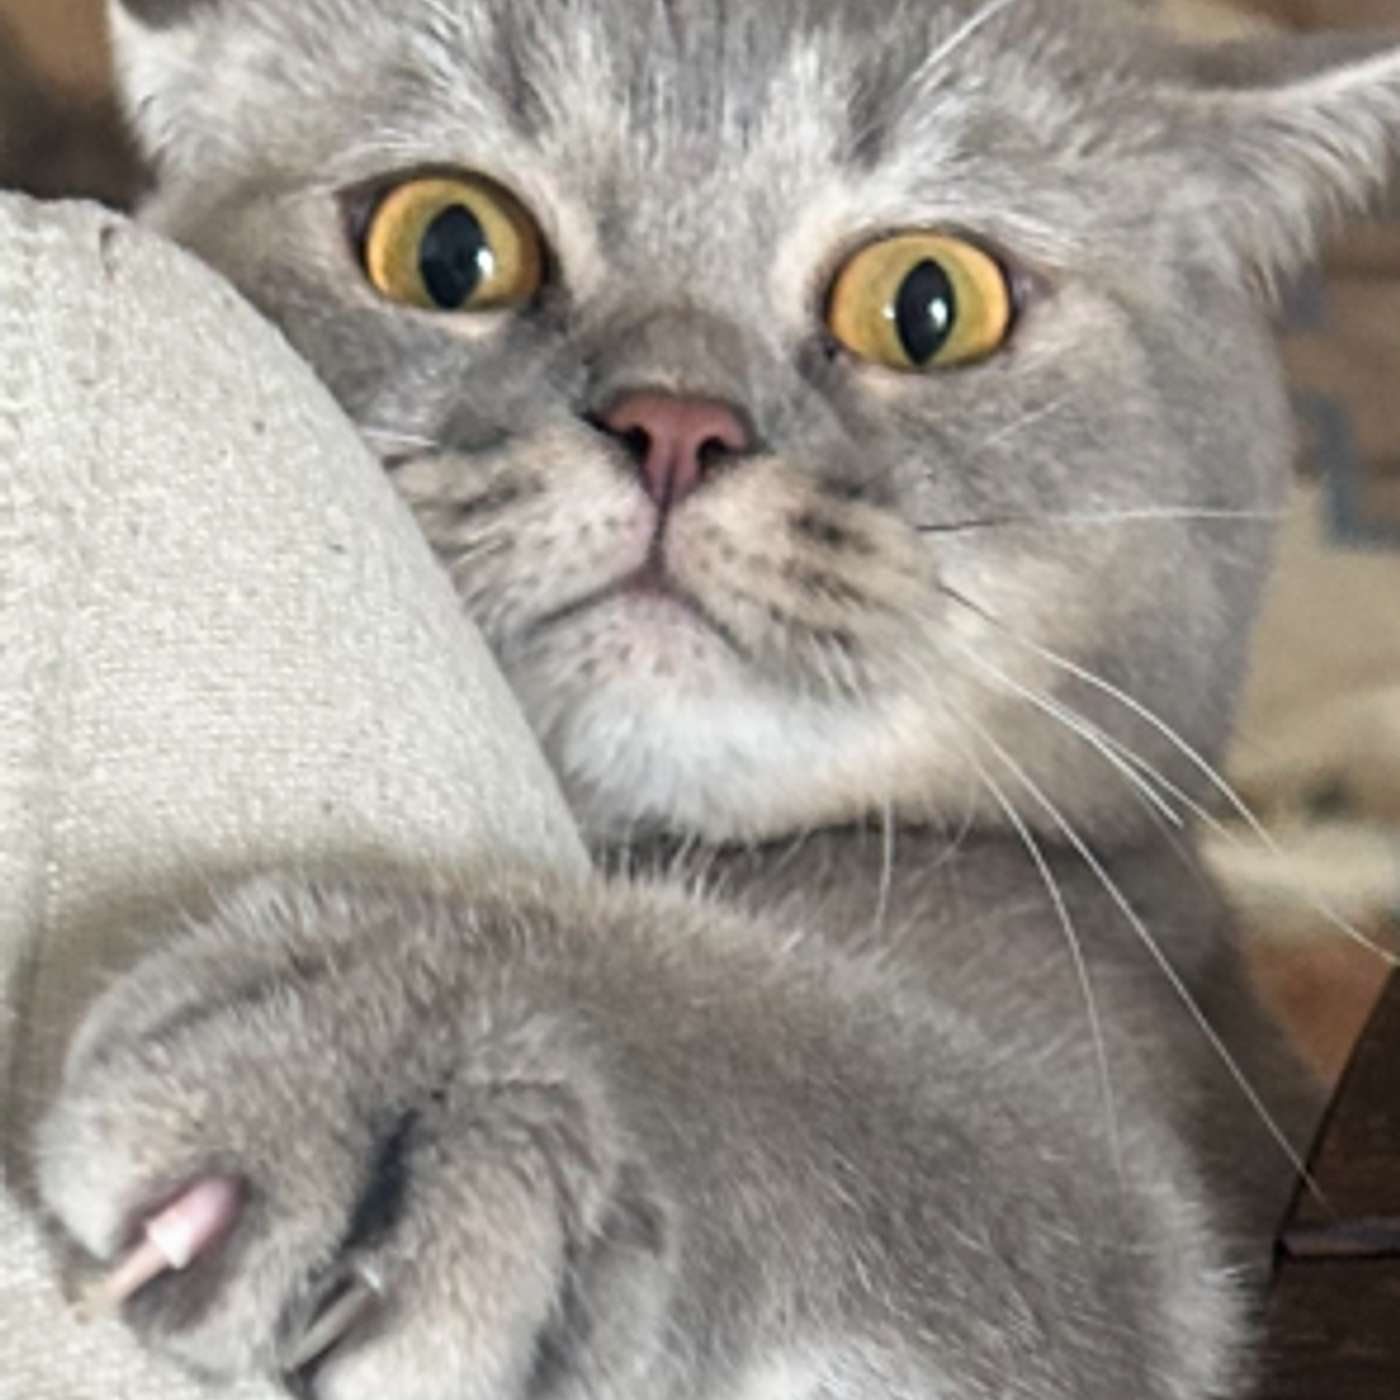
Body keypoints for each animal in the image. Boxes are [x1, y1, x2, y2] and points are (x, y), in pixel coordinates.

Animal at [32, 1, 1400, 1397]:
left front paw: (418, 1058)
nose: (675, 422)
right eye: (447, 246)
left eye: (928, 304)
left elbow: (849, 1070)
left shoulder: (1156, 1179)